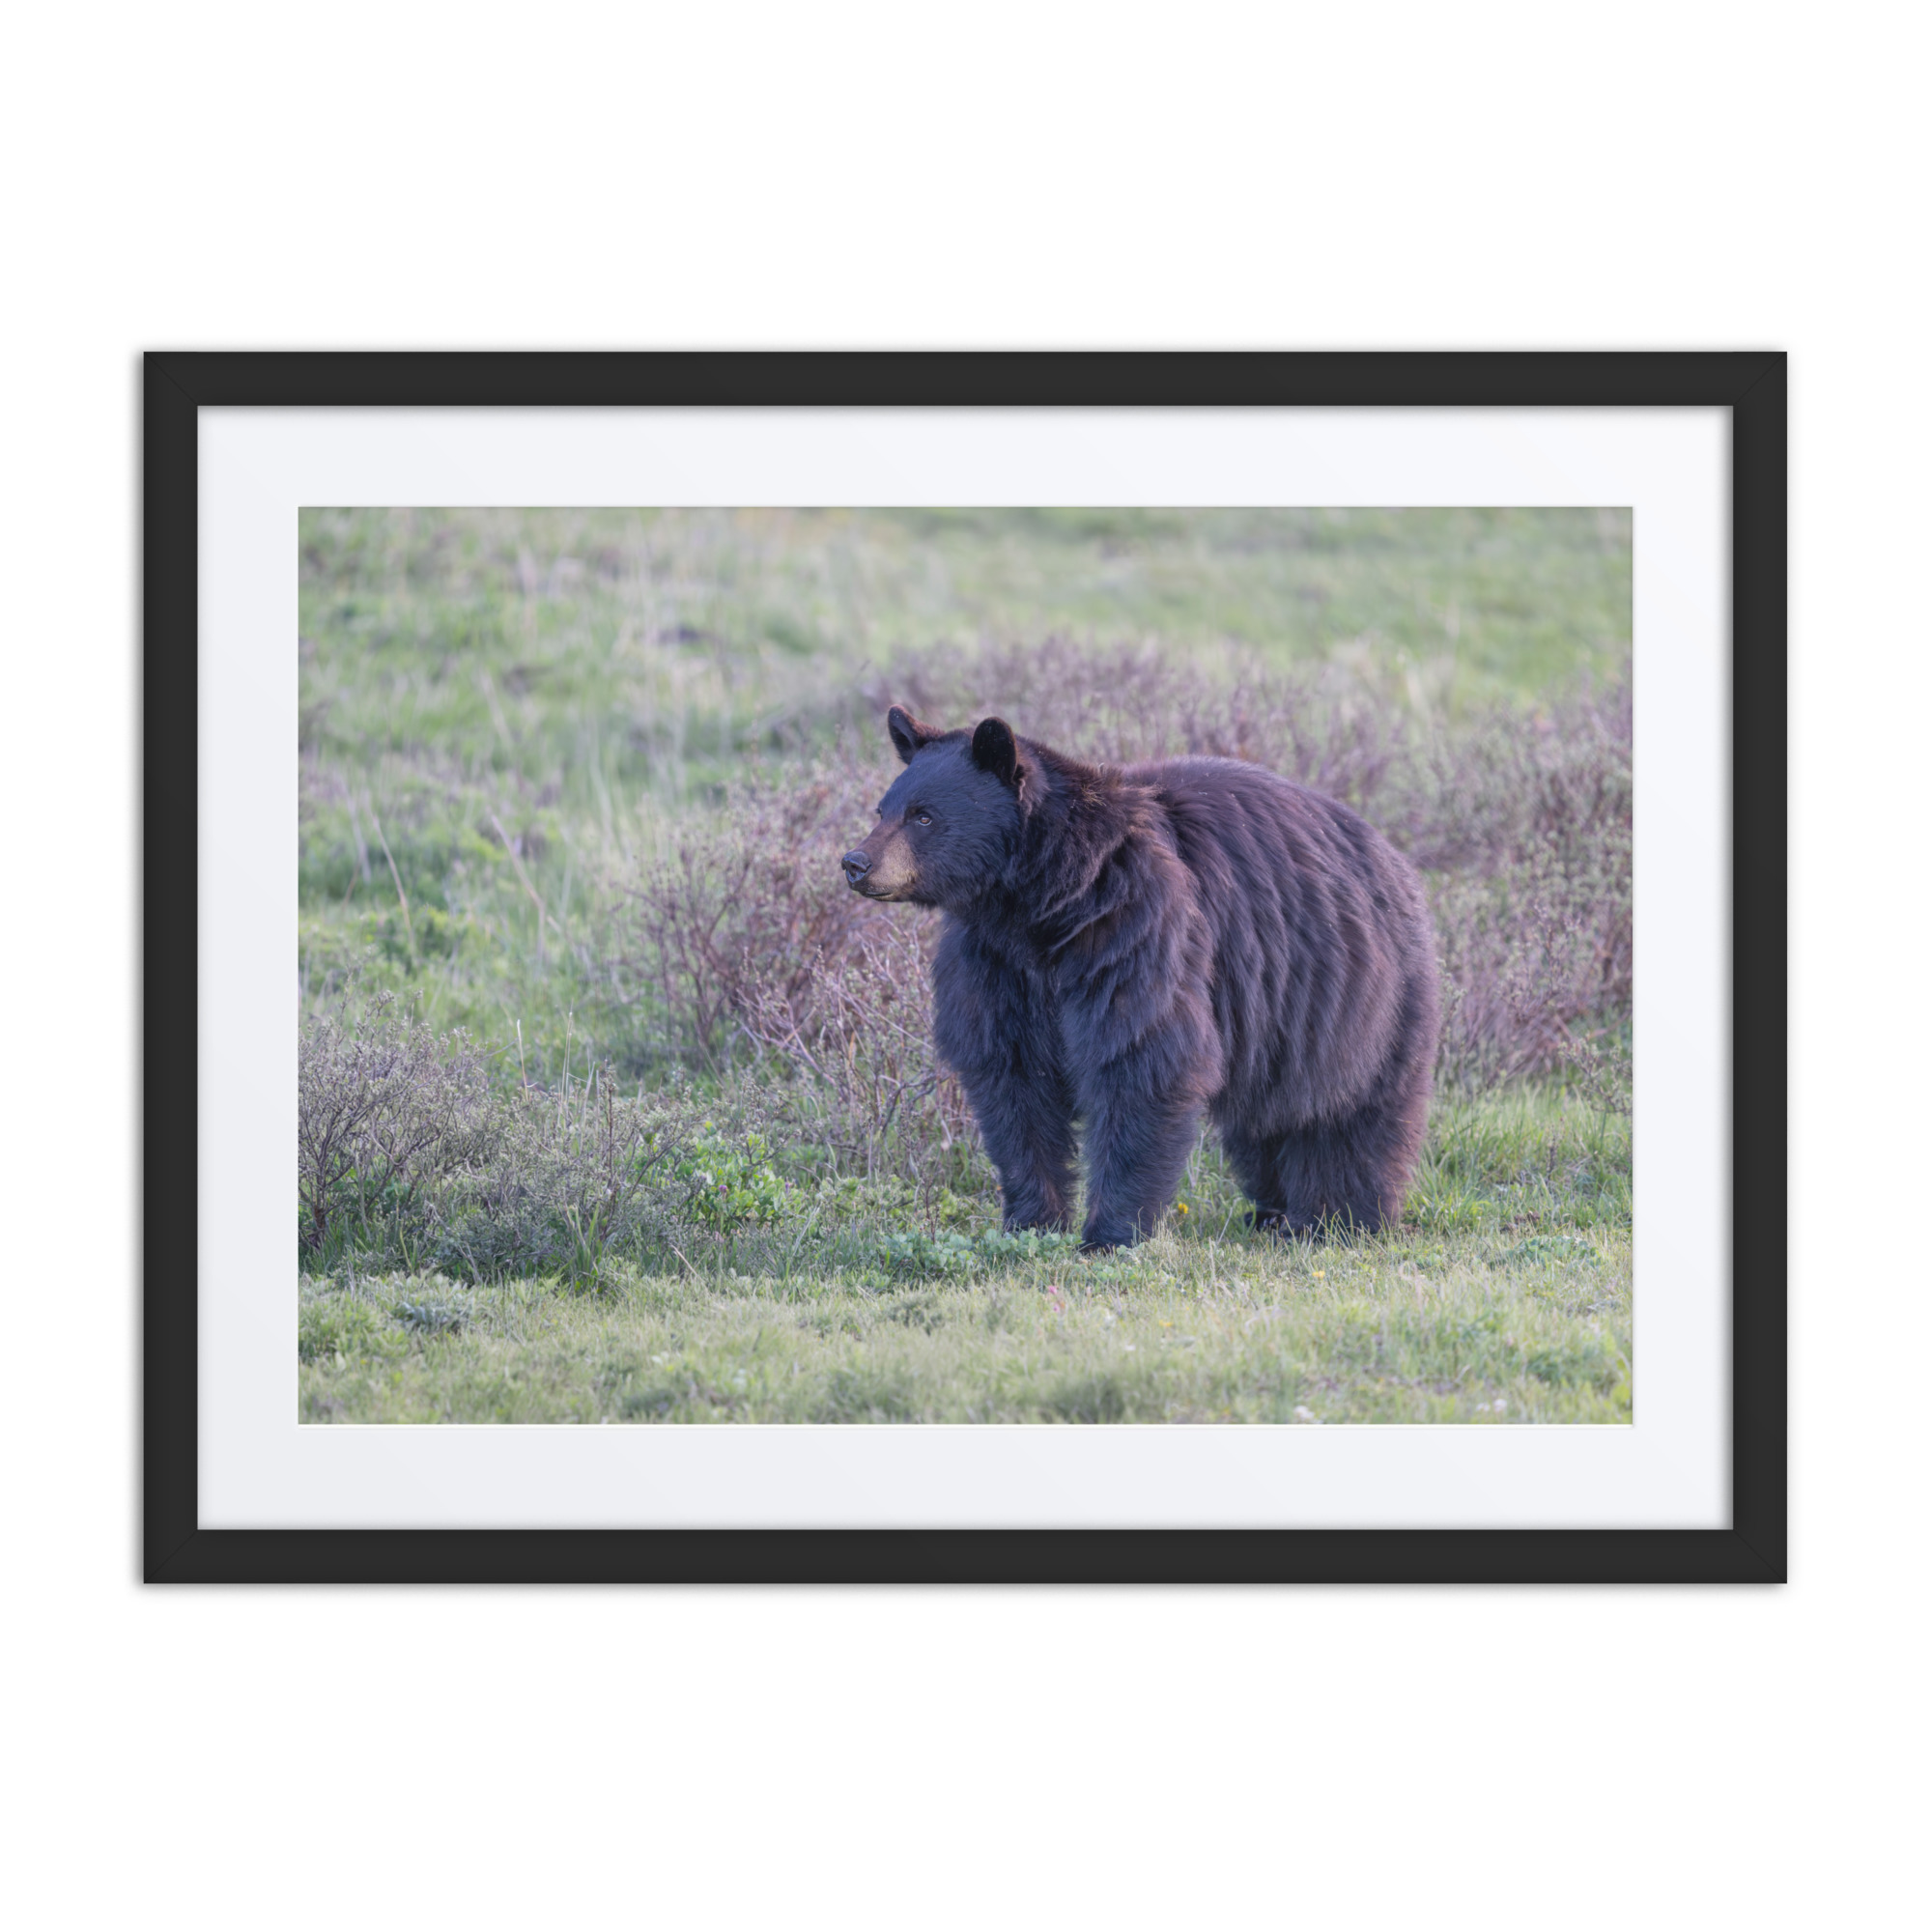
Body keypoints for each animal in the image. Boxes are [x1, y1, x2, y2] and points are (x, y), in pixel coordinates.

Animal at [840, 704, 1440, 1251]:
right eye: (883, 808)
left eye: (923, 816)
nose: (855, 862)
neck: (1041, 903)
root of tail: (1393, 857)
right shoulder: (995, 964)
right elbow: (1012, 1080)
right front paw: (1030, 1221)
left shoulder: (1134, 928)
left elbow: (1140, 1059)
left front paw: (1110, 1234)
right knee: (1266, 1119)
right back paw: (1272, 1212)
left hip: (1358, 995)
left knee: (1351, 1113)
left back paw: (1338, 1218)